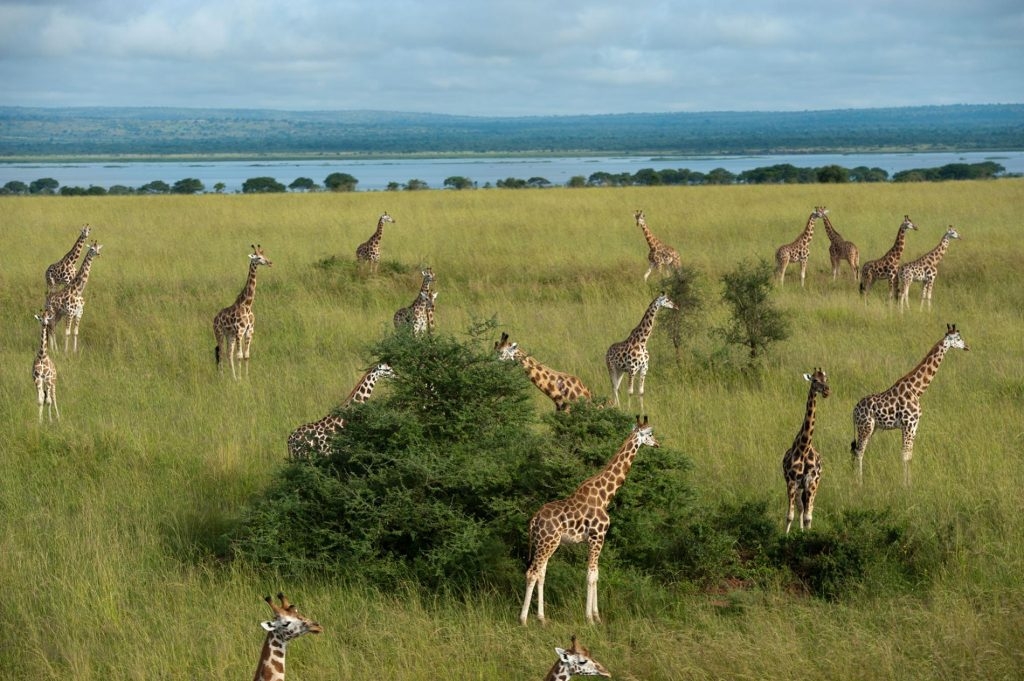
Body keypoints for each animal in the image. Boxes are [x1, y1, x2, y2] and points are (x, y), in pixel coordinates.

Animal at [213, 244, 272, 379]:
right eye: (258, 257)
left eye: (264, 255)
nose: (269, 262)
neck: (247, 305)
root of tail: (214, 319)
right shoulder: (240, 331)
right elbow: (239, 356)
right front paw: (241, 379)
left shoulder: (249, 331)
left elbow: (246, 355)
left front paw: (245, 378)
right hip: (219, 333)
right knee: (221, 353)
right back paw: (222, 377)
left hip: (230, 335)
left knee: (228, 353)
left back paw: (233, 377)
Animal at [520, 415, 659, 626]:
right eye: (650, 434)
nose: (658, 444)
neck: (605, 496)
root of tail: (533, 521)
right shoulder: (597, 537)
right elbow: (591, 575)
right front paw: (590, 619)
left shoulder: (595, 540)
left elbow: (596, 574)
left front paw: (596, 616)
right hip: (547, 543)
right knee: (532, 573)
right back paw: (523, 620)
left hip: (544, 543)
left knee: (541, 573)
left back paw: (542, 618)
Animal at [782, 369, 830, 533]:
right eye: (815, 380)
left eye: (826, 379)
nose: (827, 391)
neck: (804, 448)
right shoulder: (792, 481)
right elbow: (790, 515)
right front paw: (786, 536)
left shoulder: (810, 481)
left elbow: (808, 516)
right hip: (799, 487)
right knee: (801, 509)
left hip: (815, 484)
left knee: (809, 509)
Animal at [851, 324, 969, 486]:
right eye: (958, 338)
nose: (967, 347)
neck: (916, 390)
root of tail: (854, 410)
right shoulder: (908, 424)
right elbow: (905, 455)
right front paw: (906, 485)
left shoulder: (914, 425)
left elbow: (909, 454)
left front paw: (910, 482)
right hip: (865, 427)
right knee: (859, 451)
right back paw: (859, 483)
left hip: (872, 428)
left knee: (858, 450)